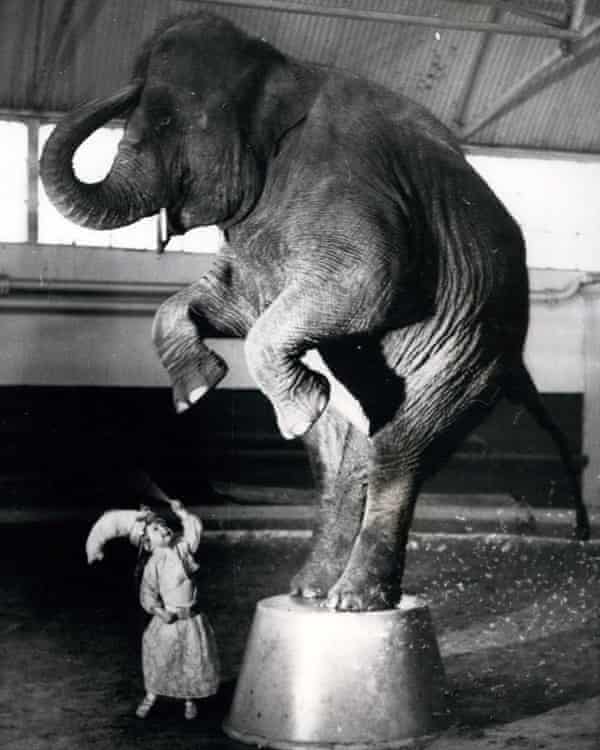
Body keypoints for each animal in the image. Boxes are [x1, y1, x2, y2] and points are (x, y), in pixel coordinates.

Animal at [38, 10, 592, 612]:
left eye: (165, 119)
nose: (125, 85)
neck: (283, 71)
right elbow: (233, 304)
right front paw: (196, 392)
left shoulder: (347, 186)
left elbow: (366, 282)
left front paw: (288, 406)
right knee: (334, 459)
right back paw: (309, 589)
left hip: (465, 354)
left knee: (399, 448)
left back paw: (355, 597)